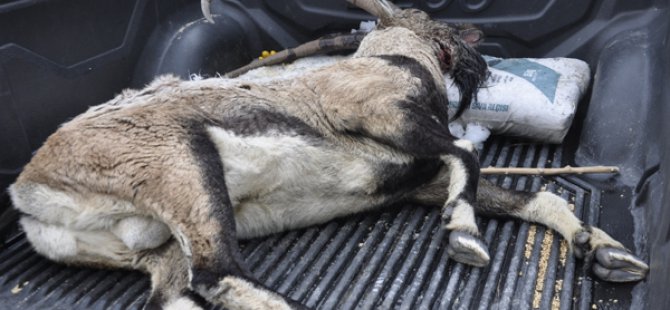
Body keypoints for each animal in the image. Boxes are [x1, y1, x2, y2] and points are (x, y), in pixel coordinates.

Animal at [9, 0, 652, 308]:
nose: (482, 55)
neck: (395, 56)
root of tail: (29, 193)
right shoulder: (383, 116)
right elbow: (467, 155)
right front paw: (464, 234)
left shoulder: (416, 177)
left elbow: (531, 194)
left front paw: (607, 251)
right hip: (184, 167)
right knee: (218, 273)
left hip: (155, 244)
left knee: (175, 294)